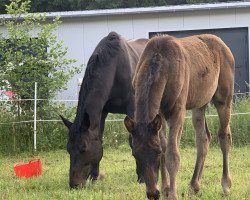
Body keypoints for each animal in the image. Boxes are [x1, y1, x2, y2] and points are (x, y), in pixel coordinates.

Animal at [60, 31, 147, 189]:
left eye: (83, 147)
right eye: (68, 148)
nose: (74, 184)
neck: (115, 67)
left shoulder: (133, 110)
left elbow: (134, 140)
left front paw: (142, 177)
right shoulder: (102, 113)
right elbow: (99, 138)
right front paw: (94, 176)